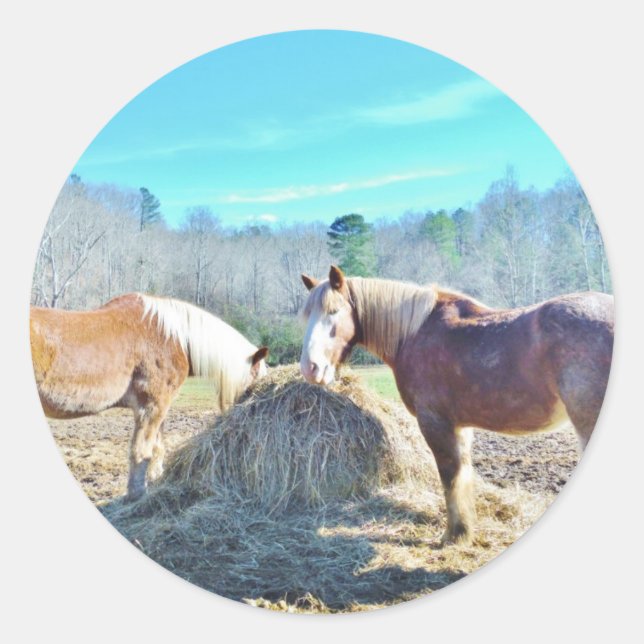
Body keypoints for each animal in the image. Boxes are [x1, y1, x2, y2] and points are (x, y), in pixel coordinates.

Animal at [30, 293, 269, 500]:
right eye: (255, 381)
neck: (174, 337)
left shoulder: (160, 407)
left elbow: (156, 447)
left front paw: (155, 480)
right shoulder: (153, 406)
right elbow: (141, 450)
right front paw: (137, 494)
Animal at [299, 266, 614, 545]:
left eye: (333, 312)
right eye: (307, 315)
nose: (310, 368)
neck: (415, 333)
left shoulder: (435, 423)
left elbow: (450, 477)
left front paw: (455, 535)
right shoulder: (461, 427)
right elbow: (463, 475)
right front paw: (464, 530)